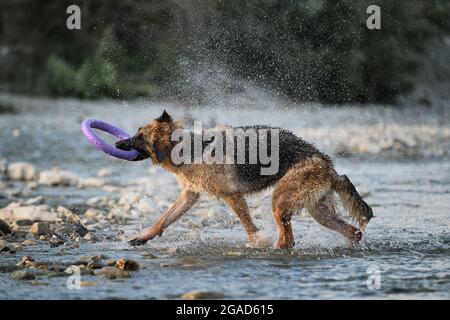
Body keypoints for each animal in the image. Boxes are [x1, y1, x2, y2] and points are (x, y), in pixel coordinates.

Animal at [116, 110, 372, 248]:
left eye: (140, 137)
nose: (118, 143)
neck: (191, 149)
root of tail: (329, 166)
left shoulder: (233, 196)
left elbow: (249, 226)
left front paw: (257, 242)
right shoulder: (189, 196)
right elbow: (163, 219)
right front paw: (143, 237)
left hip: (280, 203)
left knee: (287, 239)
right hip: (319, 212)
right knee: (353, 231)